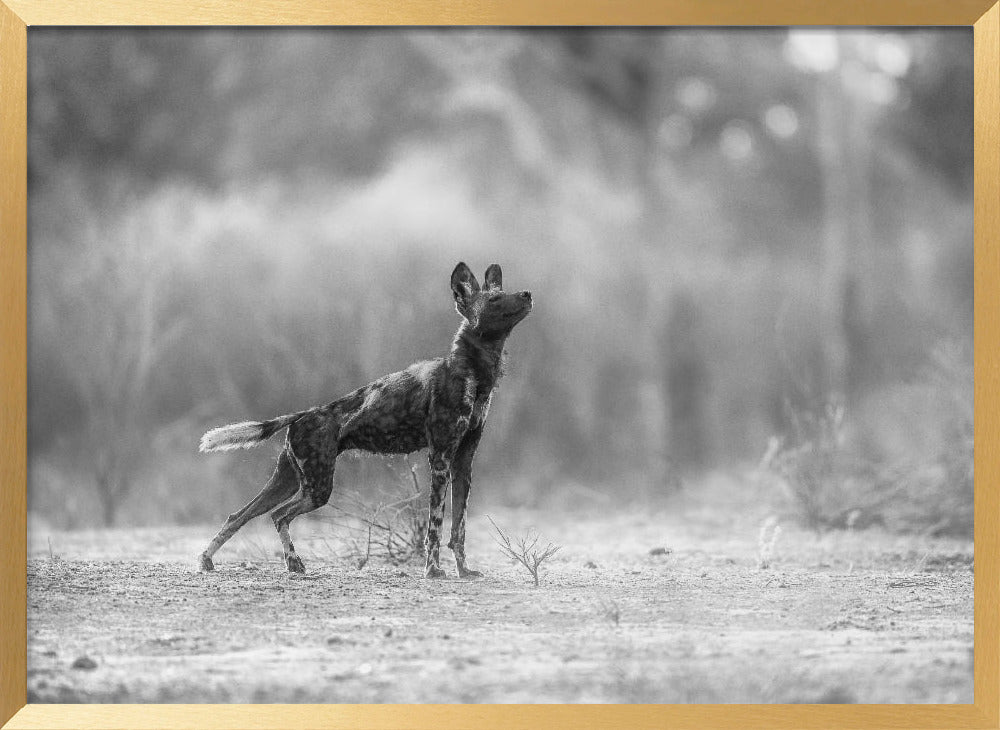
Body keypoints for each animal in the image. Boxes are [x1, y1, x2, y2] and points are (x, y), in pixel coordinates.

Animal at [198, 262, 536, 576]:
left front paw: (464, 571)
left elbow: (459, 529)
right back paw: (293, 562)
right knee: (278, 516)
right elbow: (436, 526)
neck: (474, 375)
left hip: (288, 482)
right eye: (494, 300)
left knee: (241, 515)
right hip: (317, 489)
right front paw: (432, 571)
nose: (527, 293)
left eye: (503, 292)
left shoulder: (463, 463)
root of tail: (303, 414)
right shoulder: (440, 459)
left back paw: (208, 560)